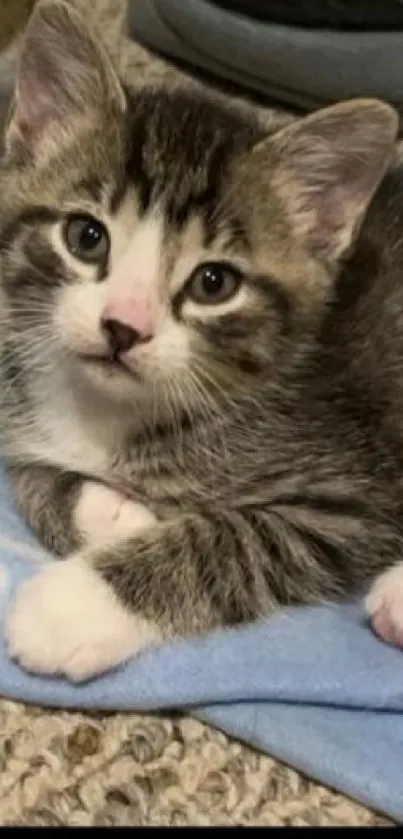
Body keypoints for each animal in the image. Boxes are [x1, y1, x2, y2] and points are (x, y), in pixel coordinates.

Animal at [0, 0, 403, 684]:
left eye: (214, 283)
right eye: (86, 237)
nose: (123, 327)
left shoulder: (355, 496)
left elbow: (237, 538)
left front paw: (75, 606)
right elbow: (27, 466)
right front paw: (109, 513)